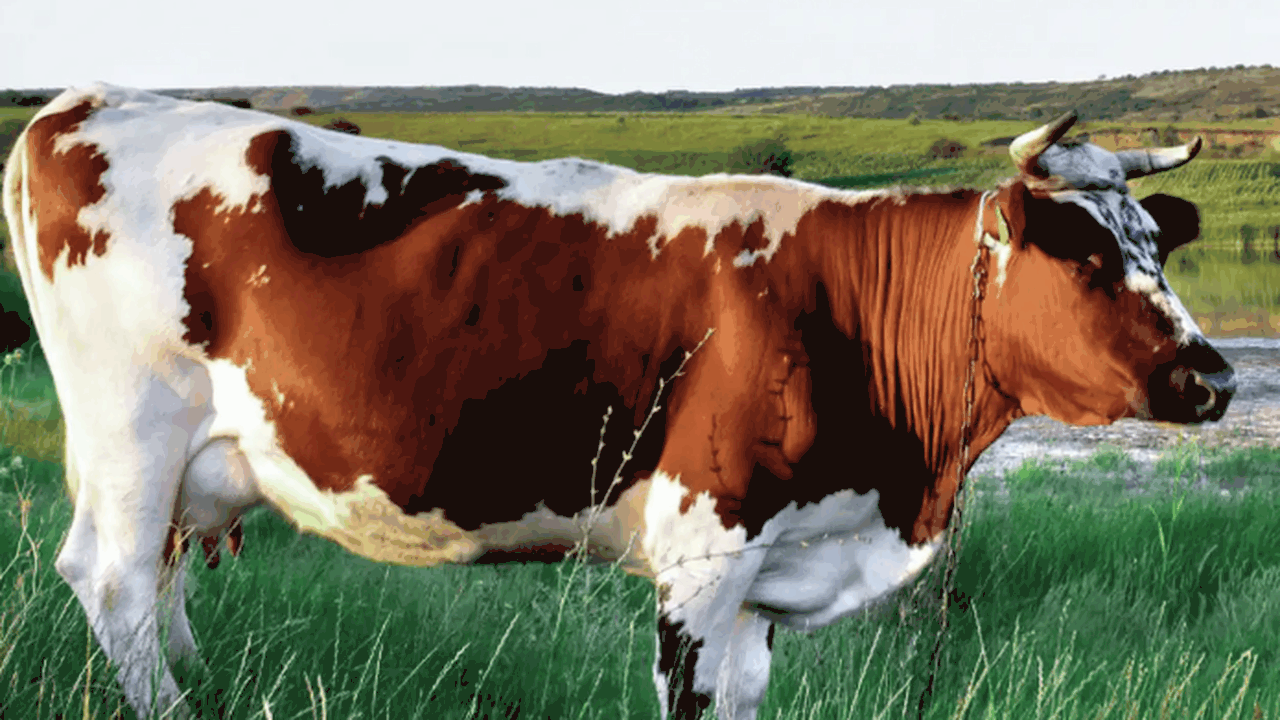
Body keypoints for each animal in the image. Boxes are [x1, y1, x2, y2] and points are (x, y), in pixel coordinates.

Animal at [2, 84, 1233, 720]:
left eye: (1155, 247)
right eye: (1084, 257)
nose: (1215, 377)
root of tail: (86, 102)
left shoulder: (764, 575)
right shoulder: (702, 554)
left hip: (180, 466)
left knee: (156, 587)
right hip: (133, 430)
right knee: (112, 584)